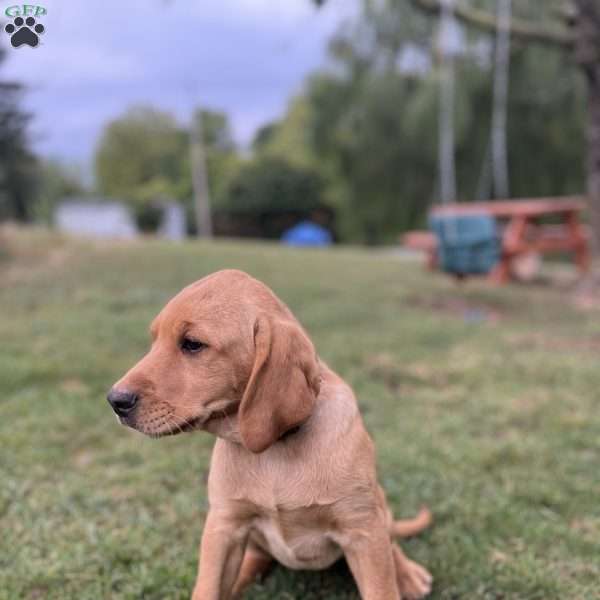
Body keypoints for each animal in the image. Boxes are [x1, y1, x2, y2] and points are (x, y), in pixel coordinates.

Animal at [108, 270, 432, 600]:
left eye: (192, 344)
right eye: (154, 340)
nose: (115, 400)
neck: (277, 445)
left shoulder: (361, 528)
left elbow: (382, 585)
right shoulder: (223, 525)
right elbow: (207, 587)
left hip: (377, 504)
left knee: (390, 539)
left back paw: (407, 575)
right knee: (256, 557)